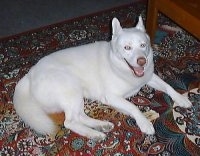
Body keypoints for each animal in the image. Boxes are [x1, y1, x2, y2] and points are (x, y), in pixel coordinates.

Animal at [13, 16, 191, 141]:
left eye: (143, 45)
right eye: (127, 48)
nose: (142, 61)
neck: (119, 65)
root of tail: (29, 74)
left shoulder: (148, 76)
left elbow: (167, 86)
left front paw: (181, 99)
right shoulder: (111, 96)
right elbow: (133, 106)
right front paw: (144, 123)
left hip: (76, 96)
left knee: (79, 116)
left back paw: (101, 126)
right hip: (71, 88)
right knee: (69, 122)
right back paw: (94, 134)